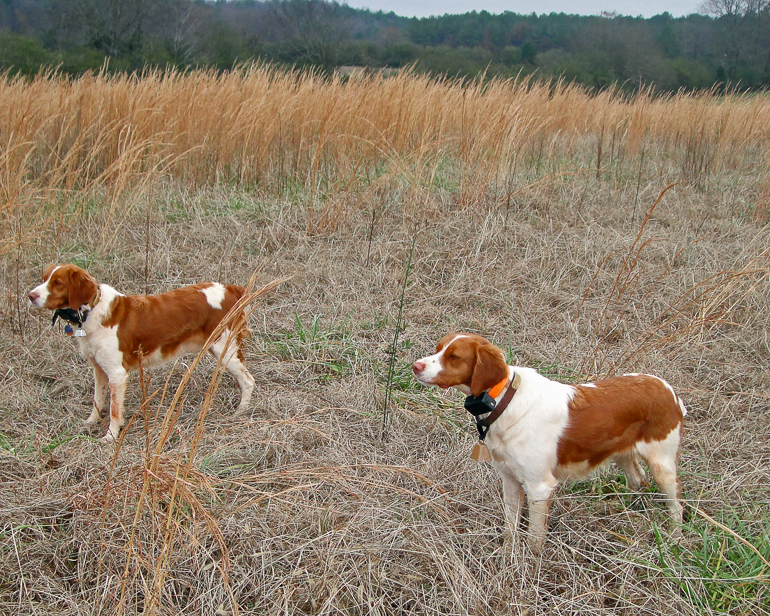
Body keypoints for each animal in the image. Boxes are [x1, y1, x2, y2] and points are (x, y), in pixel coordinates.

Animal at [29, 264, 255, 442]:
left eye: (57, 283)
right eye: (44, 279)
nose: (30, 296)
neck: (90, 311)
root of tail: (230, 289)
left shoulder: (117, 373)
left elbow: (114, 410)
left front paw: (110, 437)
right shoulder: (99, 368)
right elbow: (97, 400)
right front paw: (90, 422)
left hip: (224, 347)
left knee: (248, 380)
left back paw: (240, 412)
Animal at [414, 334, 684, 552]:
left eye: (454, 356)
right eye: (438, 348)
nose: (415, 366)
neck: (504, 402)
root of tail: (667, 389)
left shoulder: (539, 487)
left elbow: (534, 538)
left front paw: (530, 570)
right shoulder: (509, 479)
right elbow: (510, 528)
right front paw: (507, 558)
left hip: (662, 466)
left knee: (676, 506)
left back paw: (674, 539)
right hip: (622, 455)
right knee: (637, 479)